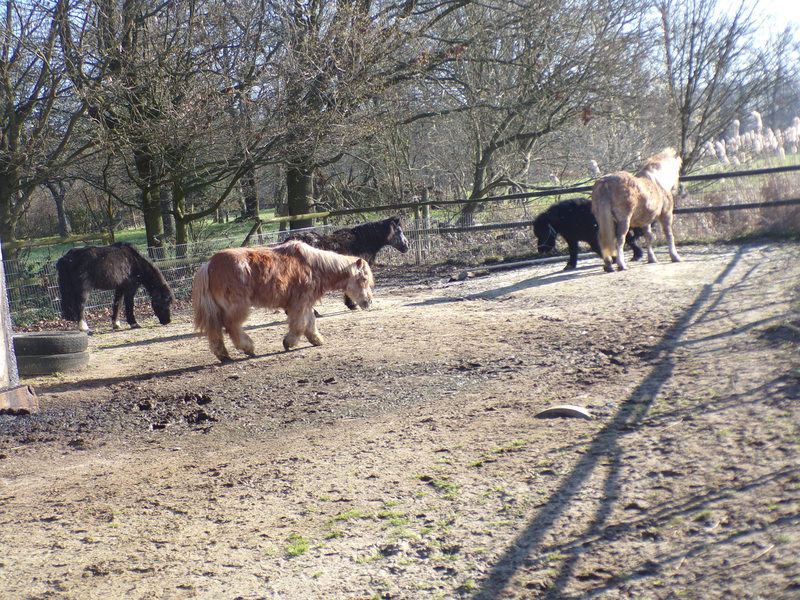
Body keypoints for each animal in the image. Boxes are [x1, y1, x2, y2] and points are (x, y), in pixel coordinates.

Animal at [192, 240, 374, 362]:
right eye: (364, 279)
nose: (369, 301)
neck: (313, 266)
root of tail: (209, 264)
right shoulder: (300, 303)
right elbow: (300, 325)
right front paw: (289, 342)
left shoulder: (305, 304)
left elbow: (310, 323)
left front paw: (316, 339)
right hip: (237, 308)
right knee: (231, 326)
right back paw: (248, 348)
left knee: (215, 330)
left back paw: (223, 355)